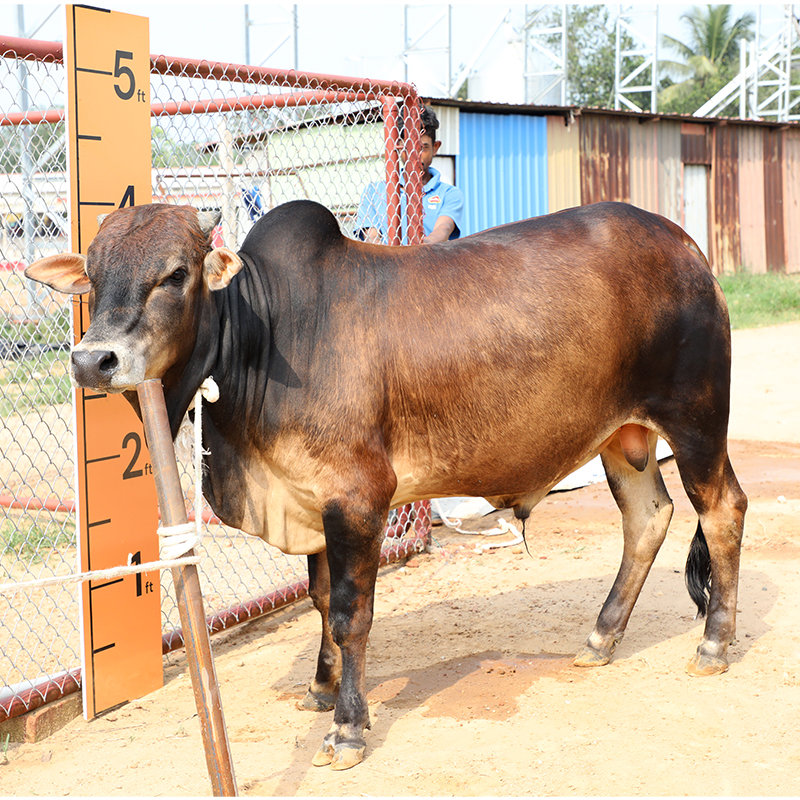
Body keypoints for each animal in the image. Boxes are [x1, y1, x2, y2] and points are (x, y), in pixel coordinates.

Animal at [26, 199, 747, 770]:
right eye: (93, 276)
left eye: (175, 274)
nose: (93, 360)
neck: (267, 331)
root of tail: (685, 245)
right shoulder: (310, 500)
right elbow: (319, 599)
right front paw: (321, 689)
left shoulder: (357, 498)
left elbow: (350, 613)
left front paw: (346, 727)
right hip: (623, 436)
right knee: (648, 518)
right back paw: (600, 639)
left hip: (695, 419)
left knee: (723, 510)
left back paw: (713, 644)